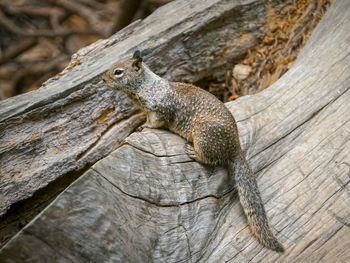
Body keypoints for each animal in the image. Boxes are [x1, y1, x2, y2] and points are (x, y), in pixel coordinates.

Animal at [101, 50, 284, 253]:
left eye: (118, 71)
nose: (102, 79)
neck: (148, 86)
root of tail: (235, 149)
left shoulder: (159, 111)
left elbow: (155, 123)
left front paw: (144, 127)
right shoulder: (148, 110)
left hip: (204, 137)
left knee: (212, 160)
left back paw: (194, 153)